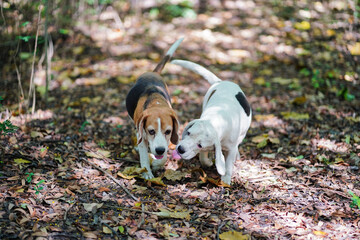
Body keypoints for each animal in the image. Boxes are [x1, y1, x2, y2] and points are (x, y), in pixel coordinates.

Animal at [126, 38, 183, 180]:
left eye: (168, 131)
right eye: (151, 131)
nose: (159, 150)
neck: (156, 103)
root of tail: (153, 73)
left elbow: (163, 157)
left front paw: (157, 164)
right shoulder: (142, 133)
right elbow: (144, 154)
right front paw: (147, 172)